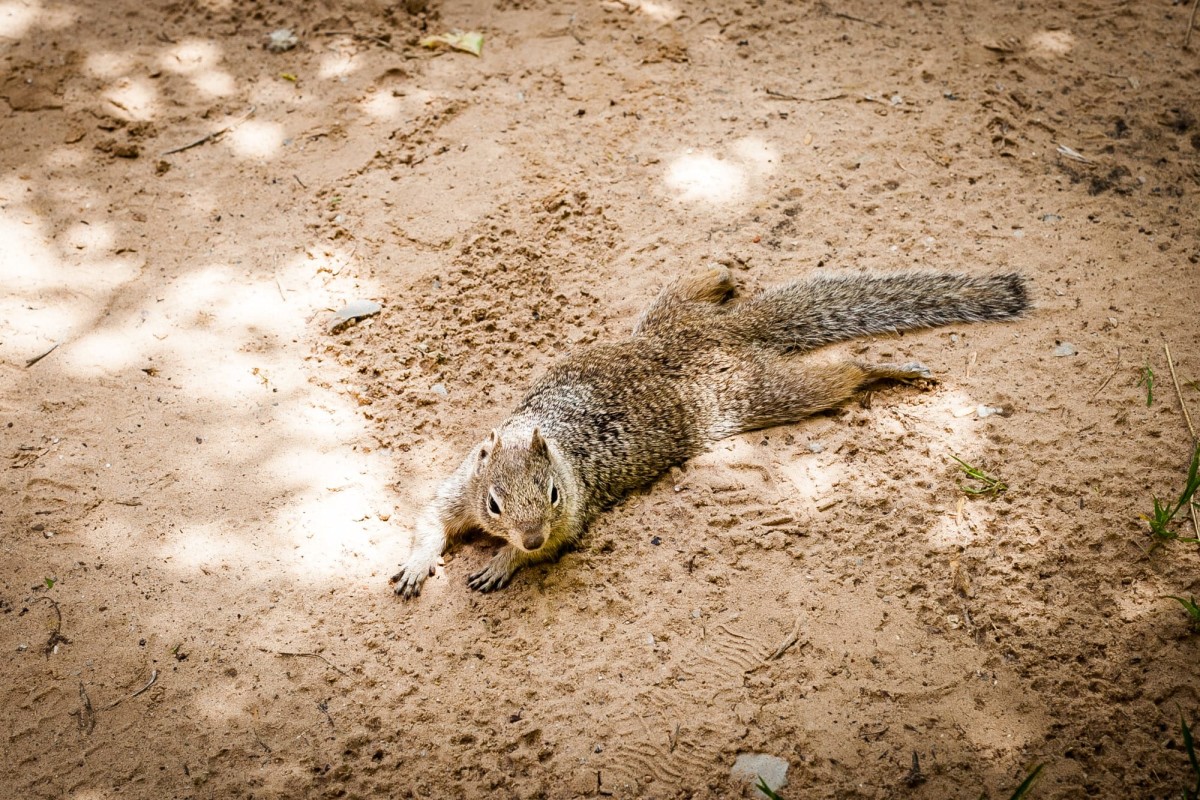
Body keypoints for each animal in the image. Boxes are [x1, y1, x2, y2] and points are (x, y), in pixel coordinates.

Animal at [388, 266, 1027, 597]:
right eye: (494, 504)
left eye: (552, 495)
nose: (528, 537)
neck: (537, 434)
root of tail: (730, 334)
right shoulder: (458, 485)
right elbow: (431, 520)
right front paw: (418, 564)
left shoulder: (574, 515)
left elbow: (556, 546)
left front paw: (504, 564)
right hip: (673, 323)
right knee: (686, 293)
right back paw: (716, 269)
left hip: (756, 393)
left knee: (840, 375)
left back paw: (884, 368)